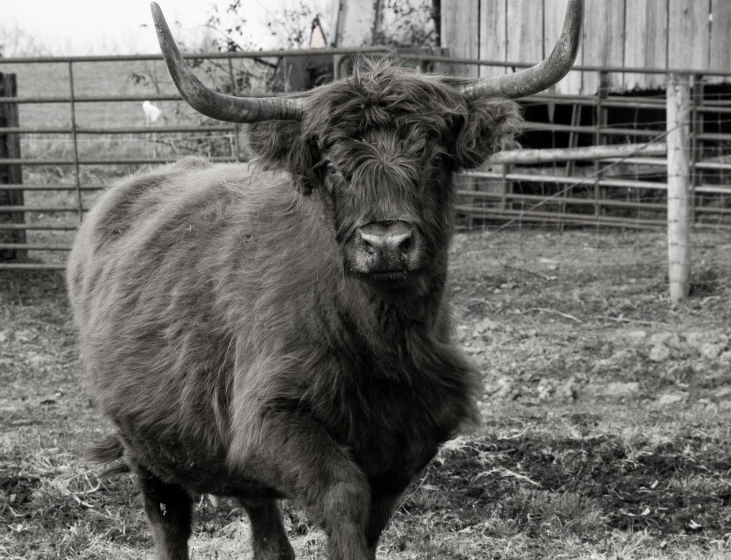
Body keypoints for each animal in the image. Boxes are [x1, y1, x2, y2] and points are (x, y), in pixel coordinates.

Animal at [67, 2, 584, 556]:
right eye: (332, 165)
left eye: (437, 158)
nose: (386, 244)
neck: (383, 339)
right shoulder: (267, 420)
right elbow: (343, 493)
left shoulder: (410, 440)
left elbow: (370, 518)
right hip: (142, 442)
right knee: (169, 522)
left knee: (265, 528)